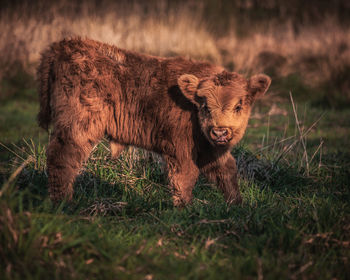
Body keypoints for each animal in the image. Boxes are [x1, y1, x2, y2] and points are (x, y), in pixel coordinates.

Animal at [37, 37, 270, 206]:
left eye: (239, 106)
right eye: (205, 106)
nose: (220, 132)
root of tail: (64, 45)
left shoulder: (211, 149)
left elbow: (227, 171)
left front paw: (237, 205)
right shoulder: (180, 150)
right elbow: (185, 177)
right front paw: (185, 208)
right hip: (77, 127)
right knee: (63, 156)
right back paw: (63, 202)